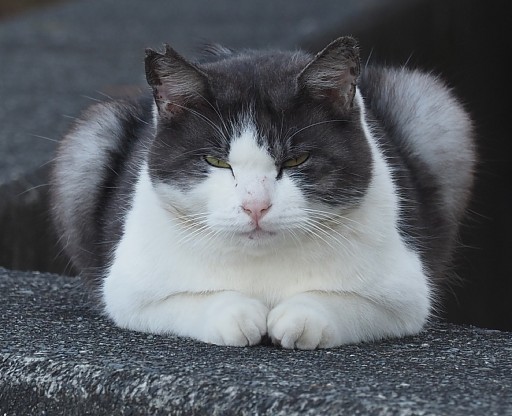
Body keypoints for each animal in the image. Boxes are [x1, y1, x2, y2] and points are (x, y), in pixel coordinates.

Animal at [51, 35, 476, 350]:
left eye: (298, 159)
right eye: (216, 161)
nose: (255, 206)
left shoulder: (404, 293)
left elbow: (350, 302)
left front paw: (299, 318)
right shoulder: (128, 288)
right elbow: (183, 301)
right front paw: (239, 316)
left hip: (430, 107)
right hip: (88, 140)